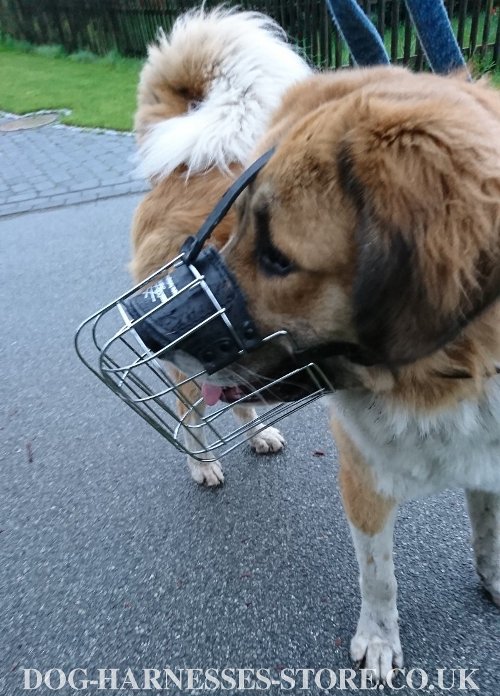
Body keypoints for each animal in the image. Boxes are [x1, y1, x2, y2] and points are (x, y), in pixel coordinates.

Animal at [170, 66, 500, 680]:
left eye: (277, 257)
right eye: (234, 226)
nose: (156, 333)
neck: (443, 380)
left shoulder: (488, 463)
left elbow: (488, 531)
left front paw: (494, 582)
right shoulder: (362, 476)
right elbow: (379, 577)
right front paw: (379, 639)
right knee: (188, 409)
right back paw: (203, 461)